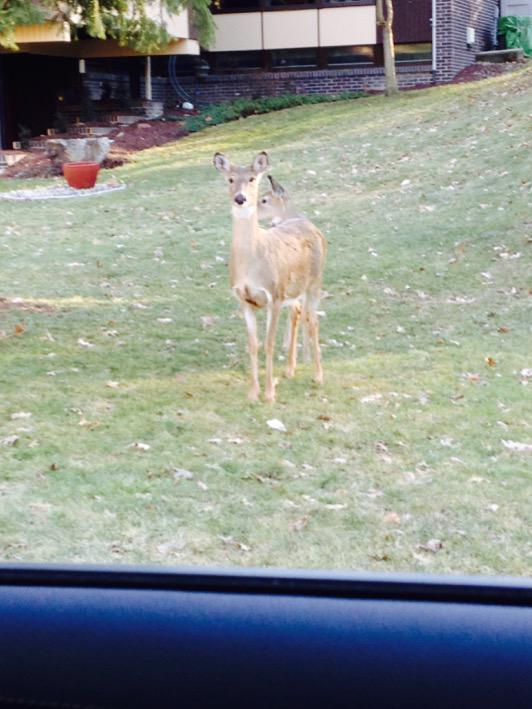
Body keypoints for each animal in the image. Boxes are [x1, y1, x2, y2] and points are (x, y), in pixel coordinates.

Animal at [213, 151, 326, 403]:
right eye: (230, 179)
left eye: (253, 178)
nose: (241, 198)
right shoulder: (244, 299)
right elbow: (253, 345)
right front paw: (253, 393)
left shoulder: (274, 295)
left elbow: (269, 343)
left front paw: (269, 393)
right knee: (300, 315)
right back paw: (293, 369)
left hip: (314, 283)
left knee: (313, 320)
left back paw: (317, 375)